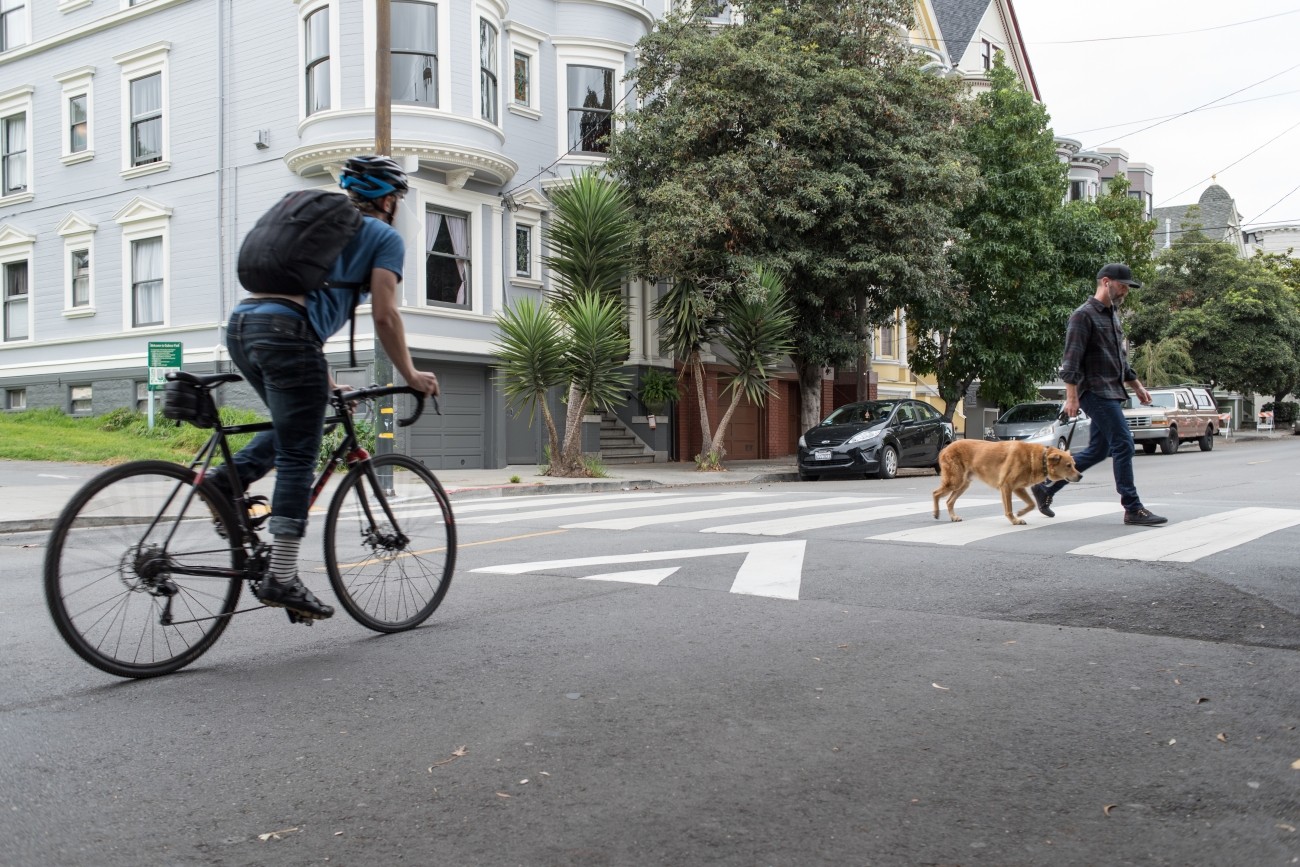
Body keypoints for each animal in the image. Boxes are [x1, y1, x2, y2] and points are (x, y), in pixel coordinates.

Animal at [930, 436, 1081, 525]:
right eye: (1068, 466)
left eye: (1074, 465)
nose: (1080, 476)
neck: (1039, 459)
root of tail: (945, 448)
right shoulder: (1006, 486)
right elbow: (1009, 508)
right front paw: (1014, 520)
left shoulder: (1018, 488)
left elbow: (1031, 503)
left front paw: (1020, 513)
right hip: (955, 481)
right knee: (935, 493)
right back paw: (936, 513)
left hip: (963, 484)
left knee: (949, 501)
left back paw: (953, 517)